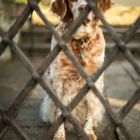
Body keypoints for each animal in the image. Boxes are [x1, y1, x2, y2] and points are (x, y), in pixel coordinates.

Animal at [40, 0, 111, 139]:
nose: (83, 7)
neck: (81, 41)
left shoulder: (94, 82)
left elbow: (90, 111)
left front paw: (88, 133)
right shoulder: (59, 81)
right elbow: (59, 112)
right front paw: (59, 135)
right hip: (48, 103)